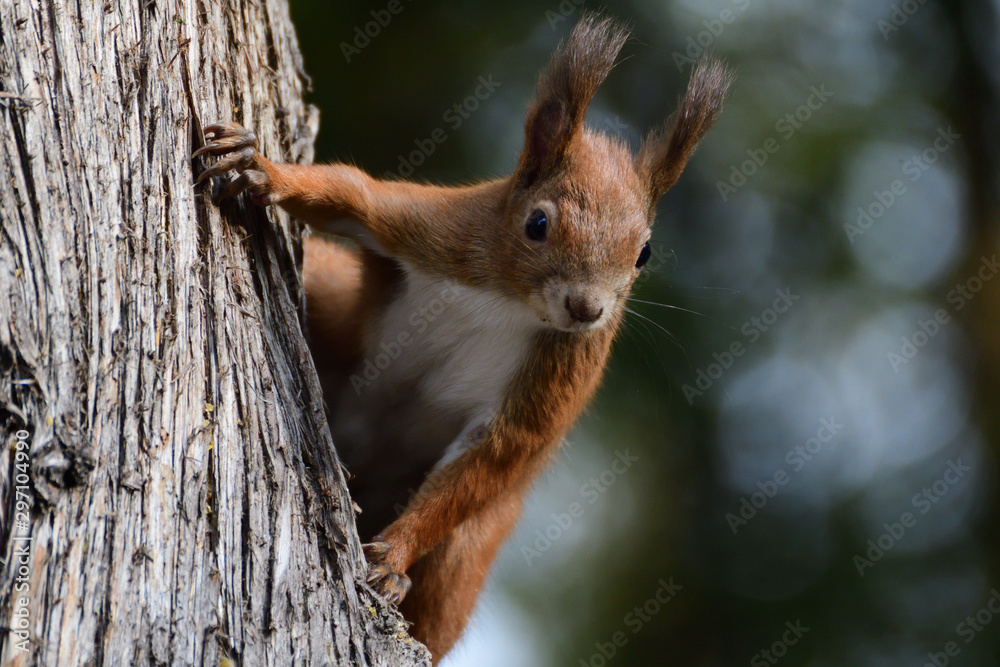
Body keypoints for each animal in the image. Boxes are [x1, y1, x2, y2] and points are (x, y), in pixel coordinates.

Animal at [194, 15, 731, 664]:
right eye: (537, 223)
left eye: (644, 252)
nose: (587, 309)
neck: (510, 302)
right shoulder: (440, 231)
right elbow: (352, 193)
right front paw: (263, 170)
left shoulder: (560, 372)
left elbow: (497, 453)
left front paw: (392, 558)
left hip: (470, 550)